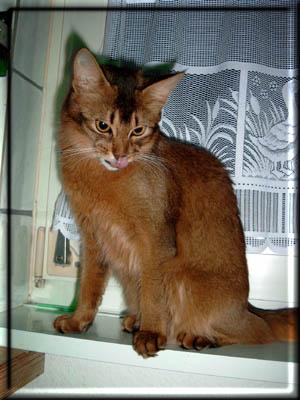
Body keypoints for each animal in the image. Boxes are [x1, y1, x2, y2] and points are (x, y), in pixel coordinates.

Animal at [53, 48, 296, 358]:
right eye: (103, 126)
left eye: (138, 131)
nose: (120, 156)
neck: (104, 178)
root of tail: (247, 307)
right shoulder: (93, 237)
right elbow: (88, 286)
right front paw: (78, 321)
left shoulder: (157, 241)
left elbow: (153, 293)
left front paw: (151, 333)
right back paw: (134, 320)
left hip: (183, 278)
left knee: (257, 332)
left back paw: (199, 337)